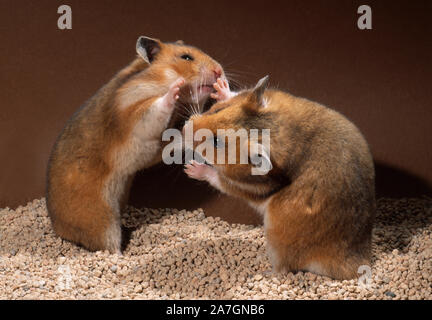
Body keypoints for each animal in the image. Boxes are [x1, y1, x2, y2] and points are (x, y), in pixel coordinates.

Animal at [46, 36, 226, 254]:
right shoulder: (136, 115)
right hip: (102, 222)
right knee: (107, 246)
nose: (219, 71)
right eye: (186, 57)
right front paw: (175, 88)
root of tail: (59, 231)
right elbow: (158, 107)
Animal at [184, 76, 376, 278]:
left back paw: (263, 271)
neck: (280, 132)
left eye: (217, 142)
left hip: (277, 239)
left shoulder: (246, 187)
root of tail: (357, 264)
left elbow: (218, 179)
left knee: (283, 269)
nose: (183, 129)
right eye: (217, 110)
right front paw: (220, 86)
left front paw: (191, 169)